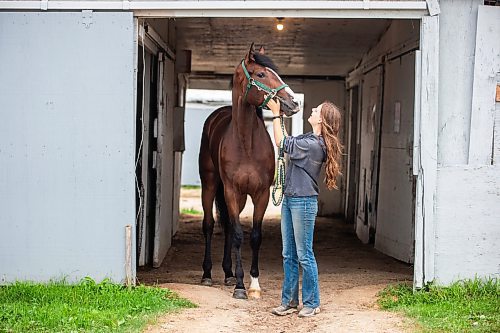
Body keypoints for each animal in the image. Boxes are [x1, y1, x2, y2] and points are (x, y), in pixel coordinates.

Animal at [197, 43, 298, 298]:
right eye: (261, 74)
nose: (293, 103)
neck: (246, 143)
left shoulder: (261, 194)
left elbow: (254, 236)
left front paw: (253, 284)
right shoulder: (231, 191)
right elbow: (238, 235)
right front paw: (241, 287)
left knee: (227, 229)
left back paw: (228, 273)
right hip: (210, 185)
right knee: (210, 226)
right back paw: (207, 274)